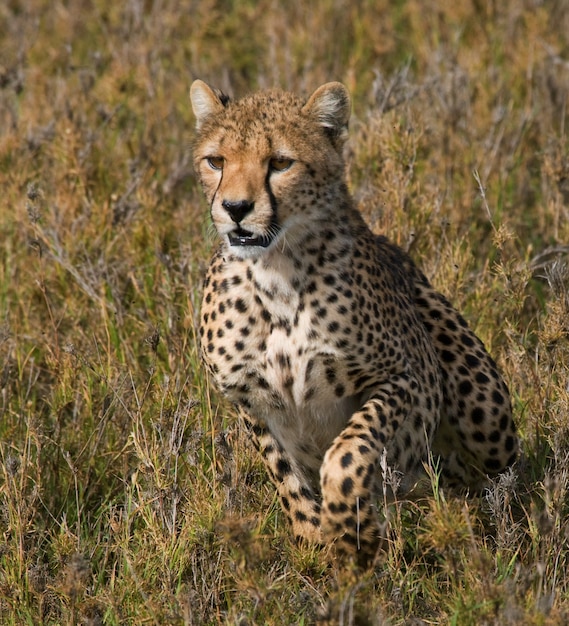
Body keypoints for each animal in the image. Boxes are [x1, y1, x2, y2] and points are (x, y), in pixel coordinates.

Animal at [190, 79, 516, 556]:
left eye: (280, 162)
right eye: (216, 161)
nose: (234, 208)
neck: (276, 272)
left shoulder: (405, 377)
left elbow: (349, 449)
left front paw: (347, 525)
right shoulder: (249, 400)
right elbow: (284, 474)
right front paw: (313, 538)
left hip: (487, 419)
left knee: (497, 479)